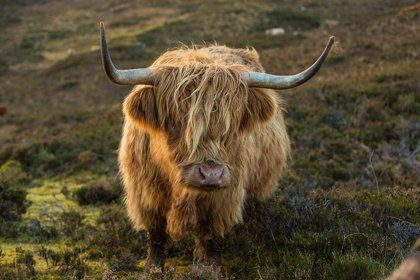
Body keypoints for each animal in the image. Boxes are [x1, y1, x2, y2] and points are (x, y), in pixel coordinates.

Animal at [100, 22, 334, 276]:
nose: (210, 175)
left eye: (230, 126)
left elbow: (212, 237)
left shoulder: (225, 196)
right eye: (174, 122)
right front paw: (152, 270)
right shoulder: (145, 193)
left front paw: (212, 270)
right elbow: (156, 235)